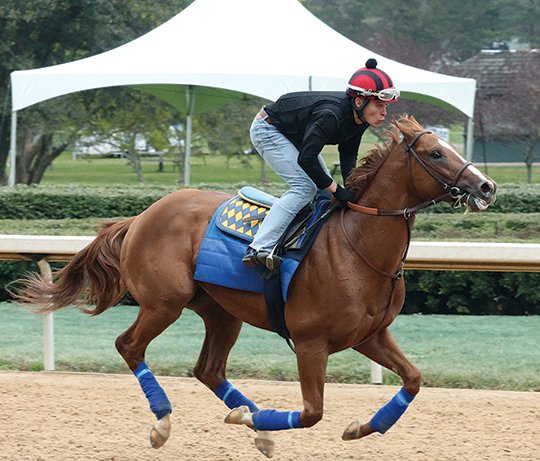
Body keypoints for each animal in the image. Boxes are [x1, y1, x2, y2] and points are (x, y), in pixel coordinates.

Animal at [15, 116, 498, 456]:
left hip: (221, 312)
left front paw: (363, 427)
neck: (358, 245)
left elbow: (413, 379)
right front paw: (254, 423)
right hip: (163, 303)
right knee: (129, 346)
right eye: (436, 154)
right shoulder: (311, 342)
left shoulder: (370, 335)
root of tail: (141, 216)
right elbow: (312, 412)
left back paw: (250, 420)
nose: (487, 186)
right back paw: (166, 422)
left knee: (208, 369)